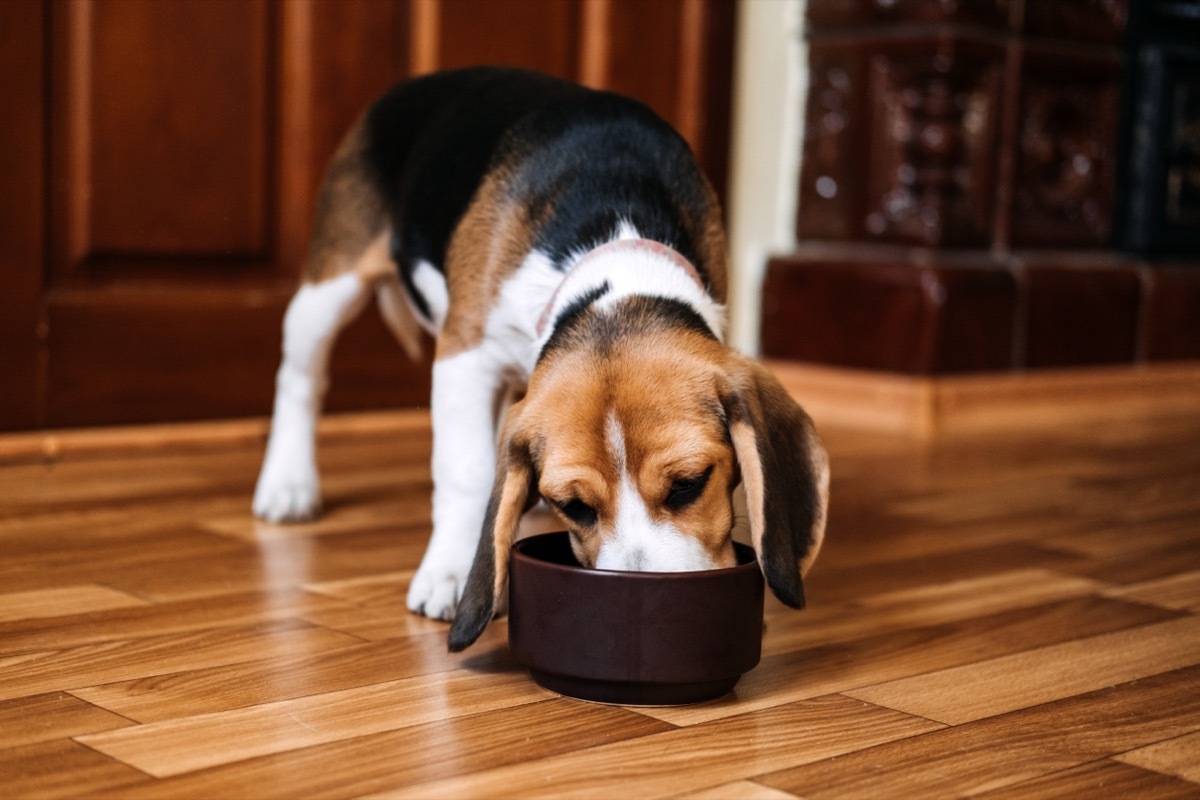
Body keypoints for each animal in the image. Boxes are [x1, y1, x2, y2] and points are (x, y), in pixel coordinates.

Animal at [250, 64, 835, 652]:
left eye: (689, 485)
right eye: (574, 508)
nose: (643, 605)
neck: (614, 249)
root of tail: (418, 81)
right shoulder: (464, 356)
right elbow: (463, 471)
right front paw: (451, 572)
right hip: (328, 290)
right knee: (300, 379)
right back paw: (288, 484)